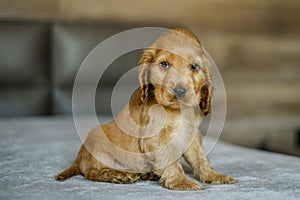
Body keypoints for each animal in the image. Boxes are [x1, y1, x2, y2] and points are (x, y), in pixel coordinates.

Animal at [55, 27, 236, 190]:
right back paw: (118, 175)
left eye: (194, 66)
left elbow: (200, 157)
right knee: (91, 172)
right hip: (97, 140)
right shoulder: (154, 138)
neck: (176, 112)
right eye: (164, 64)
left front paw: (213, 175)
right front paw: (181, 182)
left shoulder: (190, 133)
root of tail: (78, 160)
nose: (179, 91)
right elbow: (169, 159)